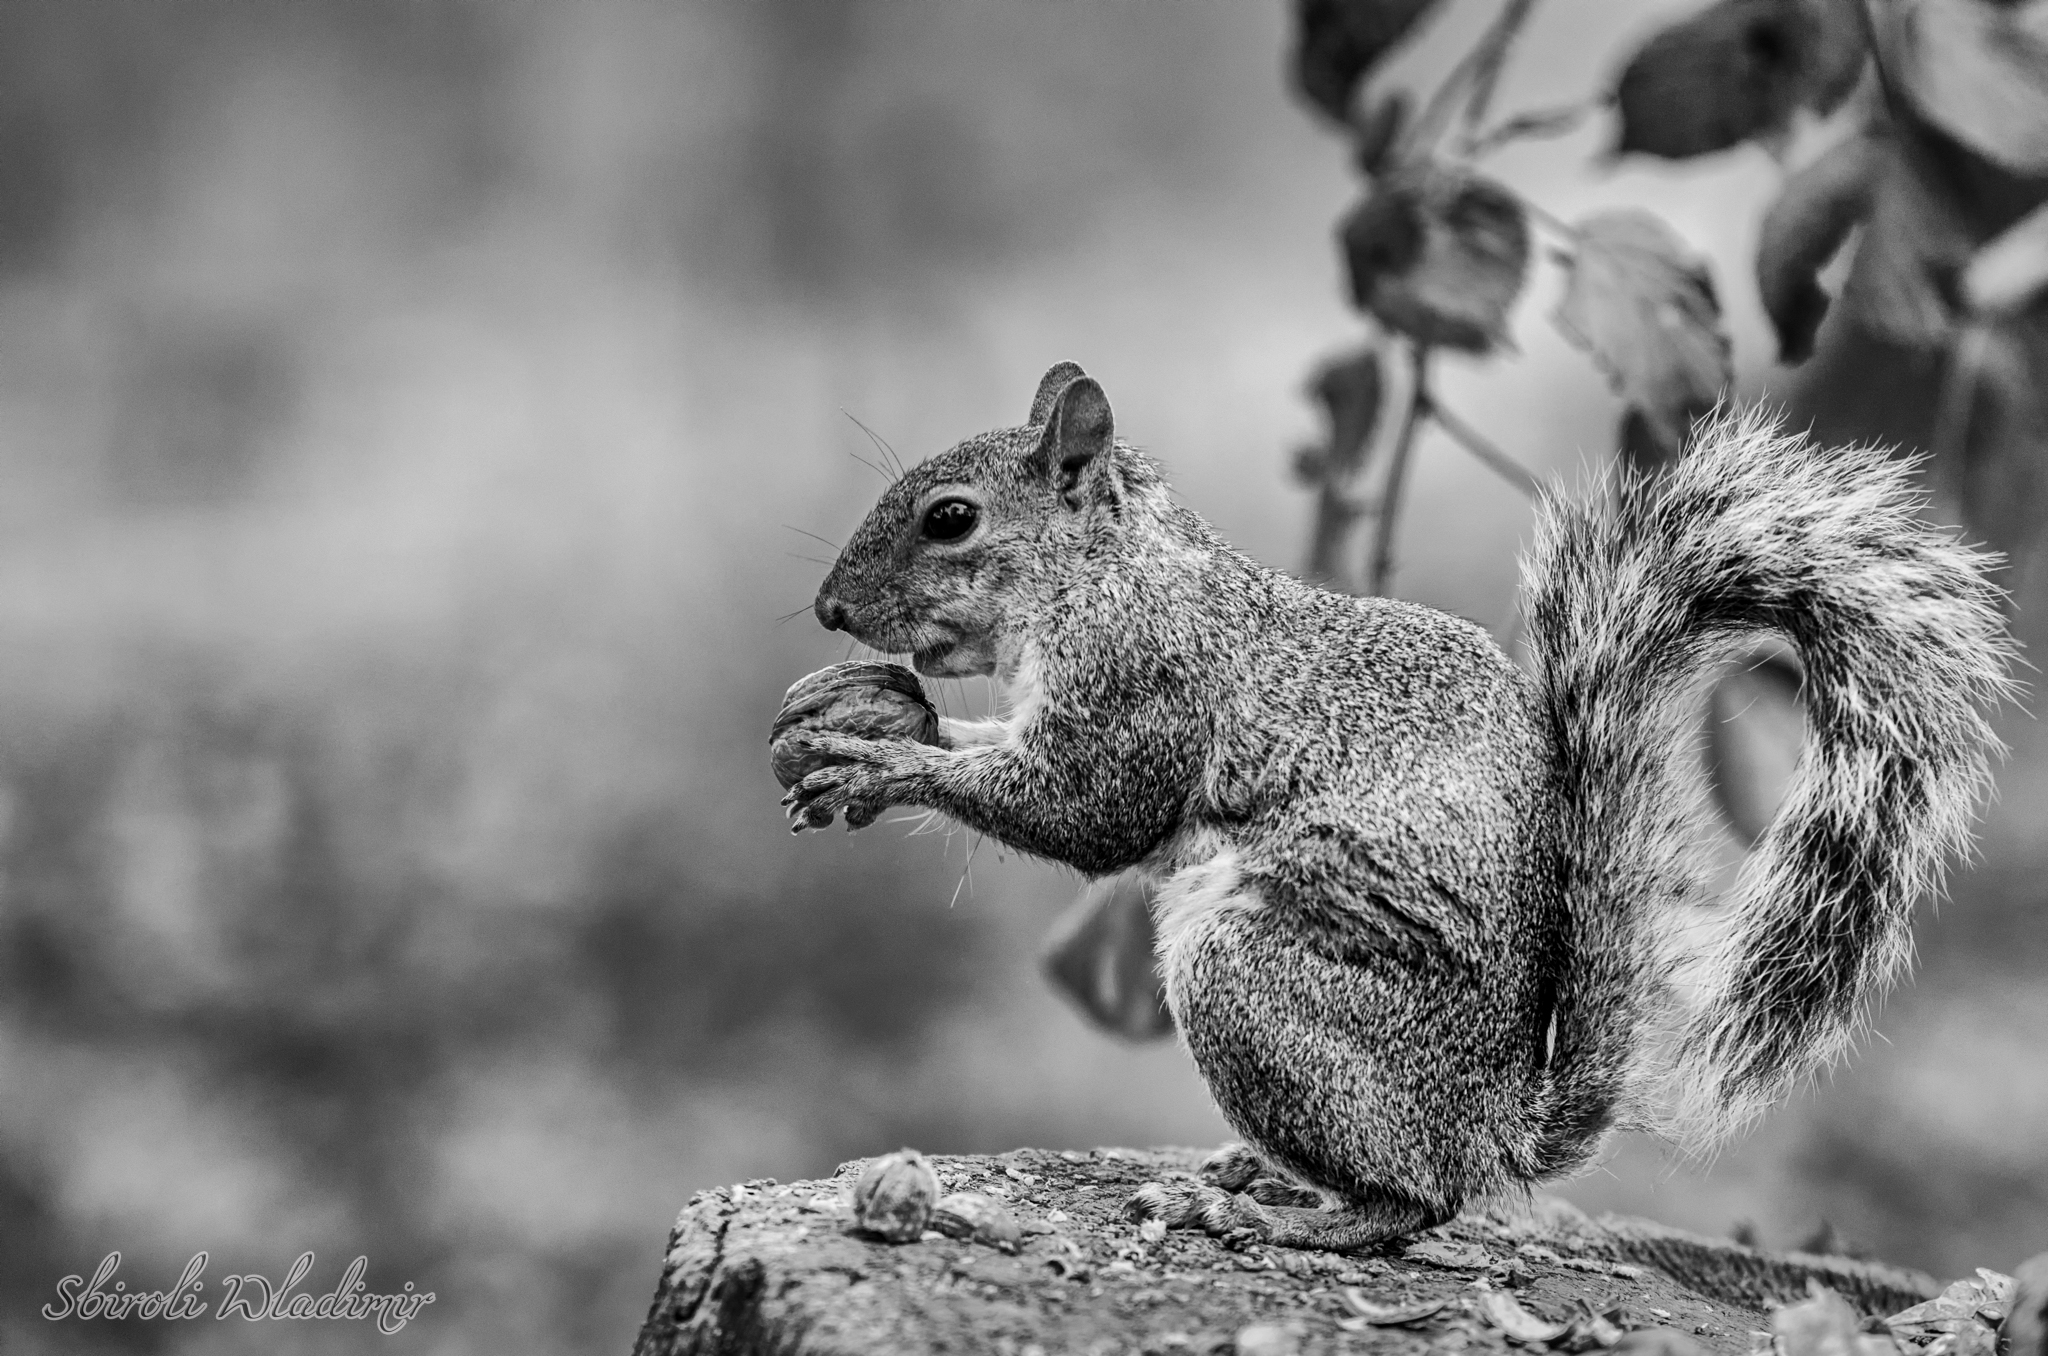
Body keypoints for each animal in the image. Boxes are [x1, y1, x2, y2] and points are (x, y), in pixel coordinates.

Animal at [779, 362, 2013, 1250]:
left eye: (950, 519)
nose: (828, 609)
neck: (1106, 572)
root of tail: (1493, 1125)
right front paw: (864, 718)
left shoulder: (1142, 687)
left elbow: (1082, 814)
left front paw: (876, 764)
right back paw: (1254, 1173)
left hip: (1250, 984)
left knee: (1413, 1202)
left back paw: (1280, 1215)